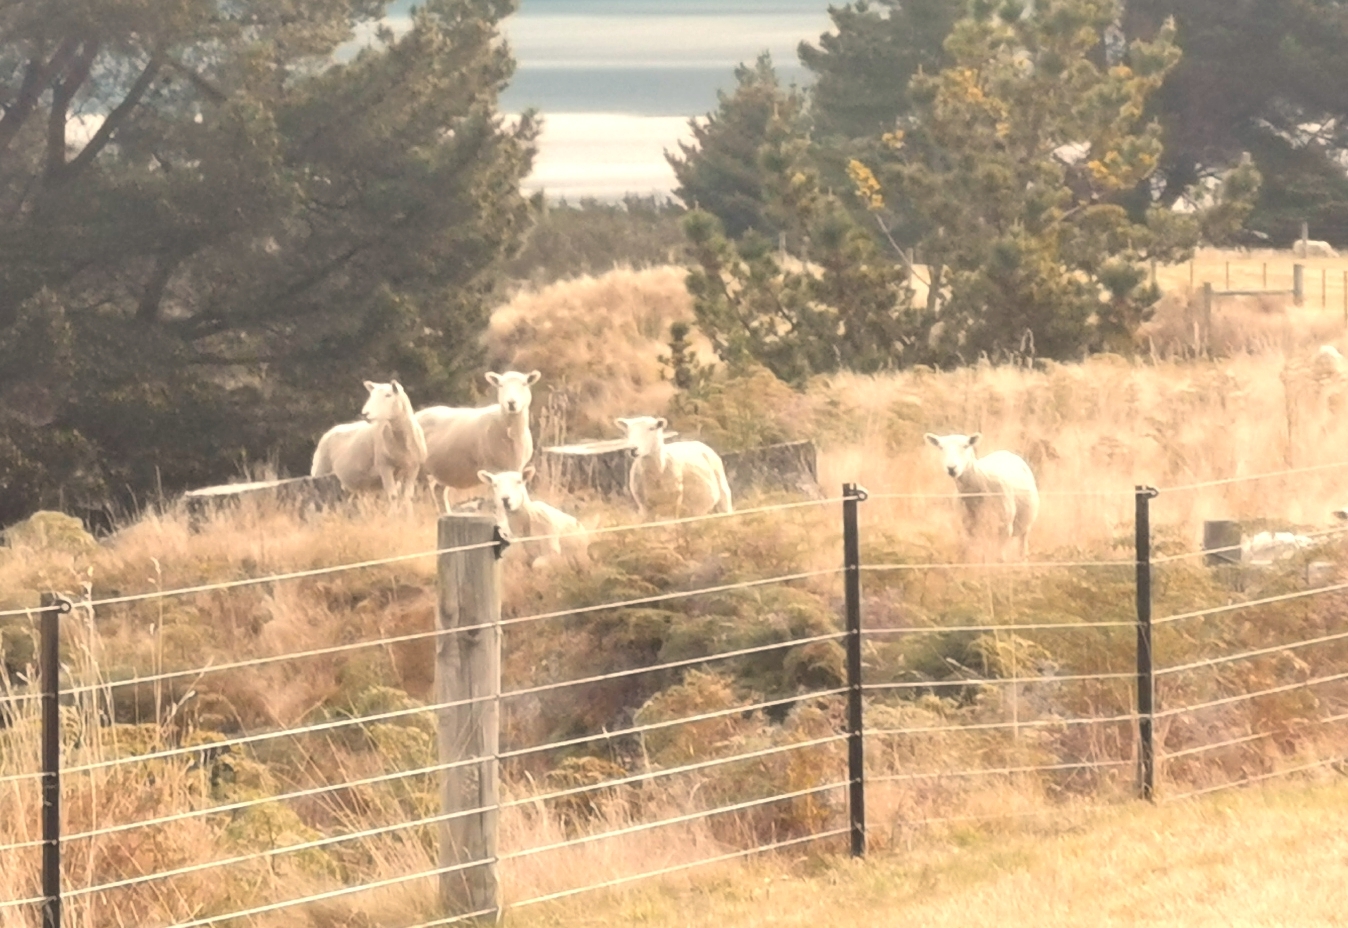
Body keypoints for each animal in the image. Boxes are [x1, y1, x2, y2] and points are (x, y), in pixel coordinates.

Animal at [412, 372, 539, 515]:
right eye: (500, 385)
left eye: (524, 384)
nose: (511, 403)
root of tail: (417, 414)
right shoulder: (490, 467)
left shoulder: (517, 467)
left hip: (440, 471)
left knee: (436, 493)